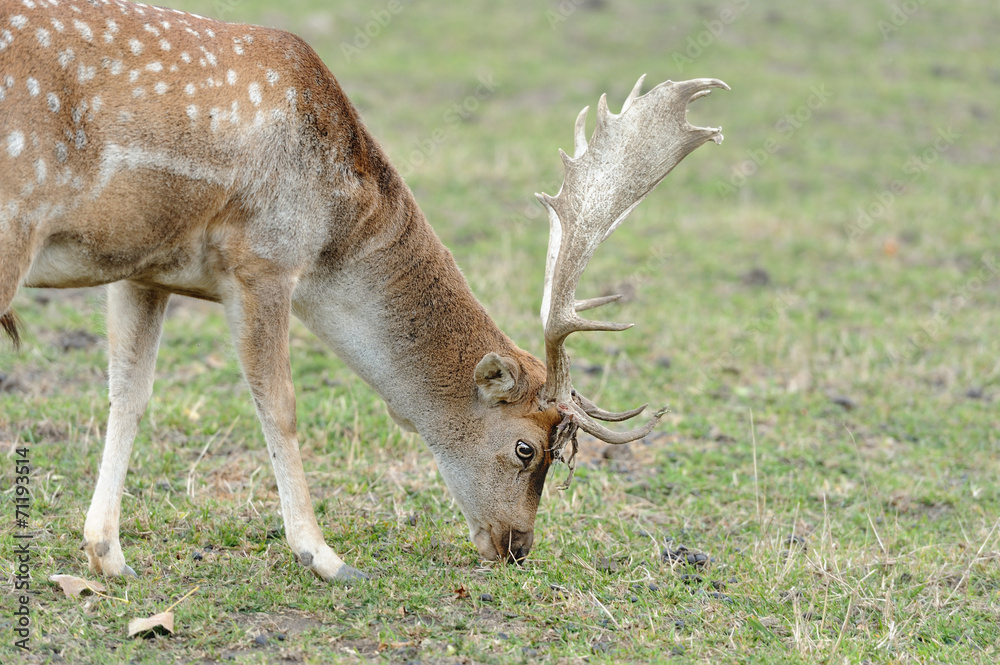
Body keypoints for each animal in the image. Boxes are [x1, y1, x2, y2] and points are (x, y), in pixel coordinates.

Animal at [0, 0, 724, 580]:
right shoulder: (265, 259)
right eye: (527, 448)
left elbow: (129, 393)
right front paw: (324, 557)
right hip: (15, 224)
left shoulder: (143, 267)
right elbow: (279, 404)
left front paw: (108, 555)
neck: (334, 229)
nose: (519, 545)